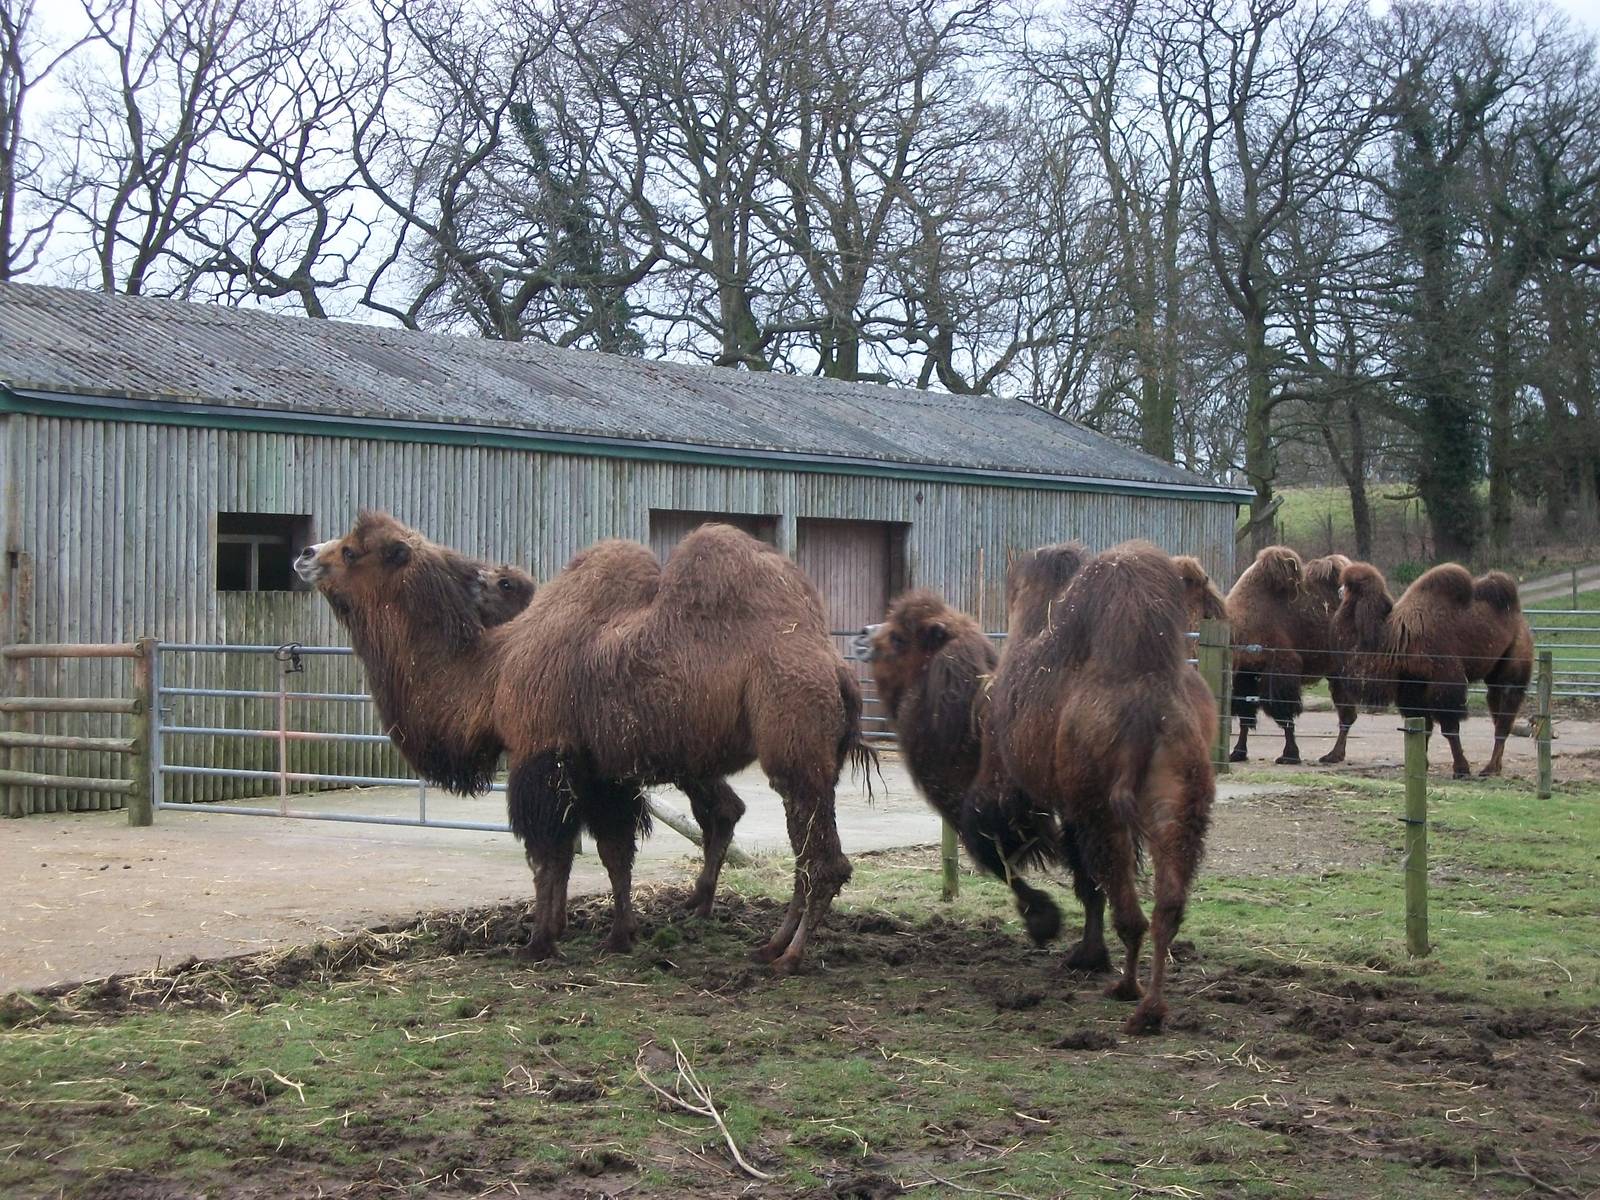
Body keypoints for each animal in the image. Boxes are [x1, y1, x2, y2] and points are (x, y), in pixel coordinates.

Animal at [296, 511, 867, 971]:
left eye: (351, 550)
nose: (305, 554)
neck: (491, 675)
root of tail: (838, 670)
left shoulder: (541, 754)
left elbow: (548, 853)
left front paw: (538, 943)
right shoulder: (600, 769)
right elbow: (612, 853)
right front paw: (617, 936)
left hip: (793, 739)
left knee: (821, 860)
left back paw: (789, 957)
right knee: (787, 846)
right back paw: (767, 945)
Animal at [963, 541, 1216, 1034]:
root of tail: (1147, 703)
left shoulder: (1026, 789)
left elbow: (1070, 875)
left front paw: (1073, 945)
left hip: (1101, 808)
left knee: (1127, 908)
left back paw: (1127, 991)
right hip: (1181, 799)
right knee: (1168, 905)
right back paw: (1151, 1006)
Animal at [1226, 546, 1362, 765]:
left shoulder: (1280, 667)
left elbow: (1284, 715)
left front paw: (1289, 755)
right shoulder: (1245, 674)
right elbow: (1245, 714)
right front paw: (1237, 753)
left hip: (1343, 668)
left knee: (1346, 712)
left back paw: (1332, 755)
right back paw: (1335, 754)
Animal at [1334, 561, 1533, 777]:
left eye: (1350, 586)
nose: (1339, 591)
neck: (1394, 640)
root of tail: (1519, 616)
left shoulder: (1445, 680)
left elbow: (1449, 727)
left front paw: (1461, 769)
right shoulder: (1412, 685)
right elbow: (1423, 726)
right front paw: (1421, 764)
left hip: (1515, 658)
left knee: (1505, 712)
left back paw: (1488, 769)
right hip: (1495, 673)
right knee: (1497, 709)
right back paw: (1495, 767)